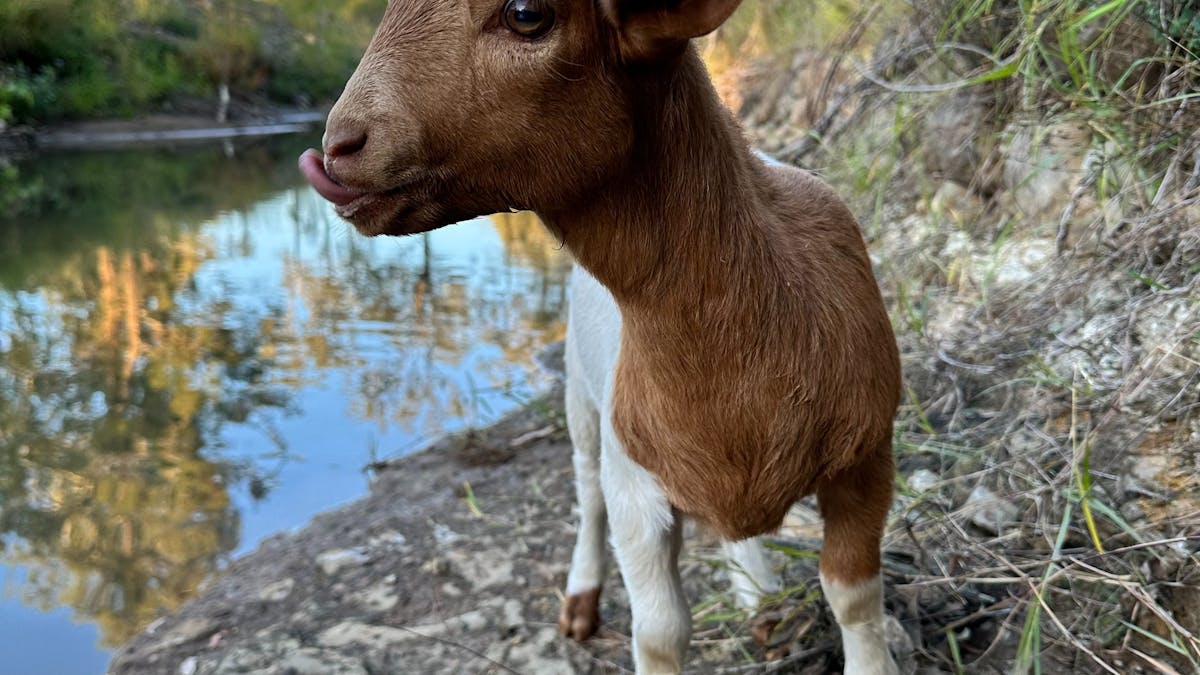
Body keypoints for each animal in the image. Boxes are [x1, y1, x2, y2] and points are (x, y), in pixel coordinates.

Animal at [298, 0, 901, 672]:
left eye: (525, 14)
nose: (337, 147)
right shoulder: (635, 488)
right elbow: (660, 631)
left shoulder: (867, 457)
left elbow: (854, 597)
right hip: (583, 406)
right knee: (587, 495)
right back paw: (582, 600)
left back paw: (757, 594)